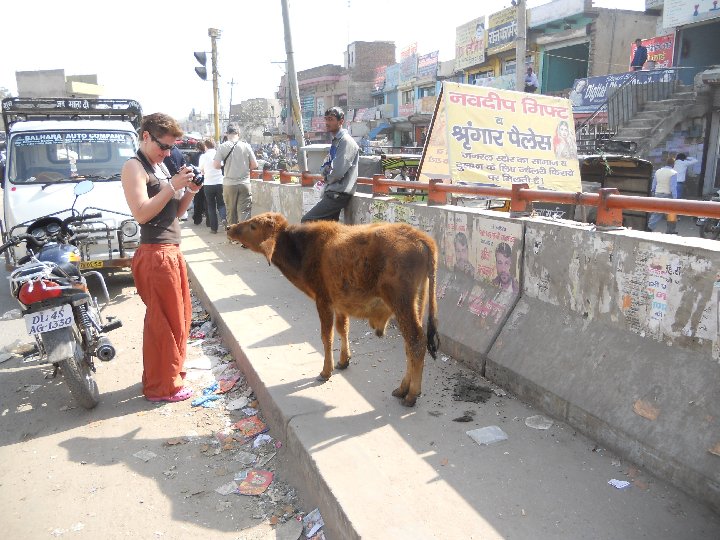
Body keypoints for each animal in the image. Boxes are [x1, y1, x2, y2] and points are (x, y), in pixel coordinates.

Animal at [226, 211, 438, 404]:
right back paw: (403, 388)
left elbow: (326, 336)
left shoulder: (323, 300)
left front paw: (326, 371)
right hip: (416, 304)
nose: (229, 227)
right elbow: (342, 329)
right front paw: (344, 360)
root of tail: (422, 238)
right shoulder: (340, 303)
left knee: (416, 342)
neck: (303, 249)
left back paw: (411, 394)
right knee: (409, 345)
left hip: (402, 303)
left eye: (253, 225)